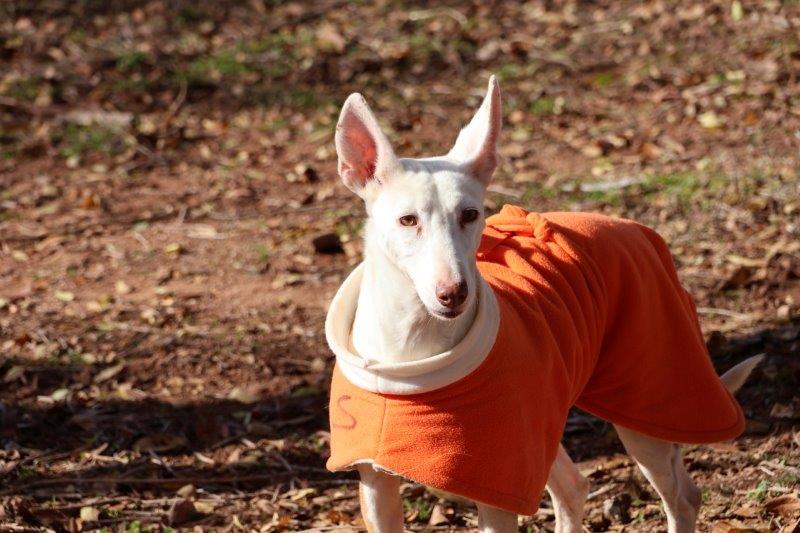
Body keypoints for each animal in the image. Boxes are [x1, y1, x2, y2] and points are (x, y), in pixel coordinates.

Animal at [324, 76, 762, 533]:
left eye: (470, 214)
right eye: (407, 220)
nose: (455, 293)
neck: (411, 352)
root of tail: (635, 228)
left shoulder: (499, 487)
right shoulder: (376, 486)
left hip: (646, 403)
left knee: (682, 495)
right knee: (574, 487)